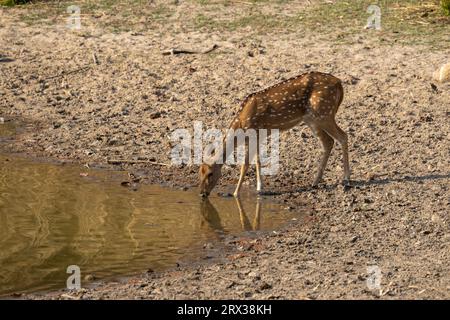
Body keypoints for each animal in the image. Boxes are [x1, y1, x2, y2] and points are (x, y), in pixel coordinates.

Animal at [200, 72, 352, 198]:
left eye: (210, 173)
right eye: (199, 172)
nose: (202, 193)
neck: (242, 124)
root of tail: (339, 83)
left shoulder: (254, 134)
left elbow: (245, 165)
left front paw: (235, 193)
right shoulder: (258, 136)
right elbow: (258, 161)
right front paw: (260, 188)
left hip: (324, 113)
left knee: (343, 136)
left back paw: (346, 179)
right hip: (313, 119)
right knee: (328, 141)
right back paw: (315, 181)